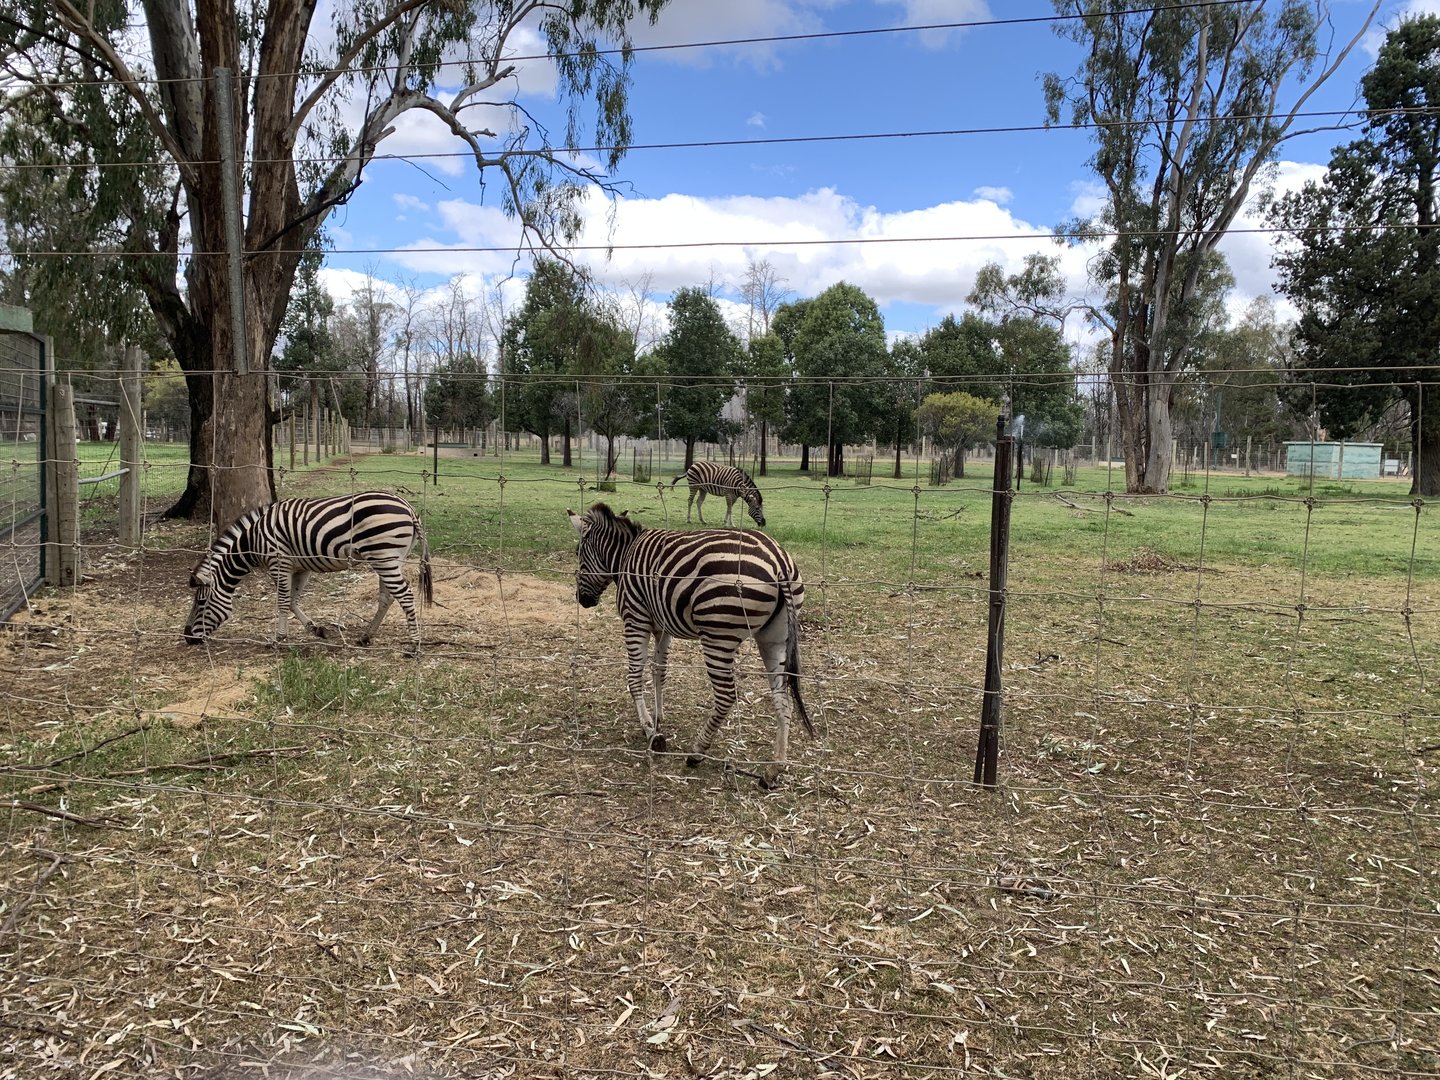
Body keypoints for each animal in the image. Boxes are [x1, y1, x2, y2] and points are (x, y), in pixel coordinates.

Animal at [184, 491, 432, 652]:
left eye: (201, 603)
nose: (187, 638)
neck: (252, 542)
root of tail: (409, 508)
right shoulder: (300, 567)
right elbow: (293, 600)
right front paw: (316, 629)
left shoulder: (279, 563)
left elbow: (283, 601)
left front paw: (278, 639)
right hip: (391, 558)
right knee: (387, 596)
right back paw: (366, 636)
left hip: (383, 555)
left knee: (405, 595)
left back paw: (414, 644)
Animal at [567, 501, 811, 788]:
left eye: (577, 553)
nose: (582, 600)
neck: (624, 557)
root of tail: (779, 561)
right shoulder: (662, 625)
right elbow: (659, 671)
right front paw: (658, 718)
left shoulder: (635, 618)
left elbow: (634, 676)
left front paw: (650, 730)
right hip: (774, 637)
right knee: (783, 698)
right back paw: (774, 769)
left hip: (718, 635)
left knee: (726, 696)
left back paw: (697, 752)